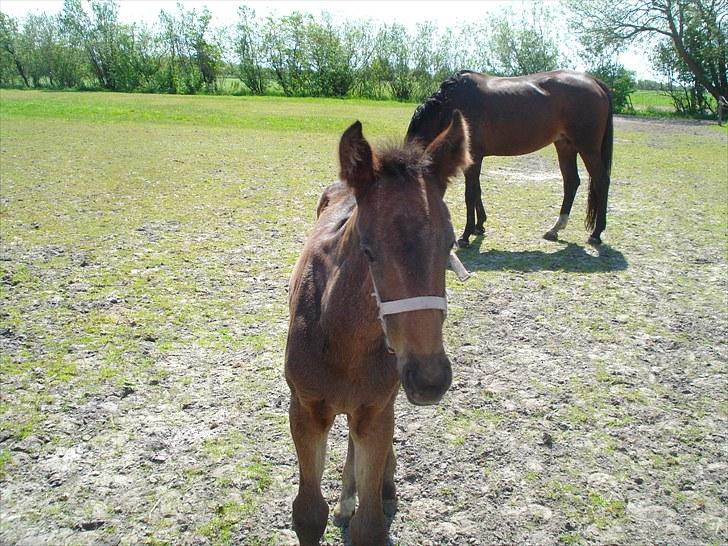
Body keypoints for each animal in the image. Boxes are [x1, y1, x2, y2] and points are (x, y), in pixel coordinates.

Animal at [406, 68, 612, 246]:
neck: (452, 105)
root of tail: (594, 81)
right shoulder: (475, 159)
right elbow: (477, 191)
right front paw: (479, 226)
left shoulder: (473, 158)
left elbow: (470, 194)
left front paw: (466, 235)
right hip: (565, 146)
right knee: (571, 182)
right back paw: (555, 229)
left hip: (588, 148)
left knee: (601, 180)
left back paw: (596, 234)